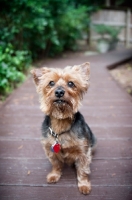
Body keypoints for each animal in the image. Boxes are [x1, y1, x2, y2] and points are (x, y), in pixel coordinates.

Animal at [30, 62, 96, 194]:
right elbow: (56, 164)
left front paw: (84, 185)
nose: (59, 92)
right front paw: (54, 175)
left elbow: (83, 170)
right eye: (51, 83)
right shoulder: (50, 149)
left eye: (71, 83)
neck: (60, 122)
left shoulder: (83, 151)